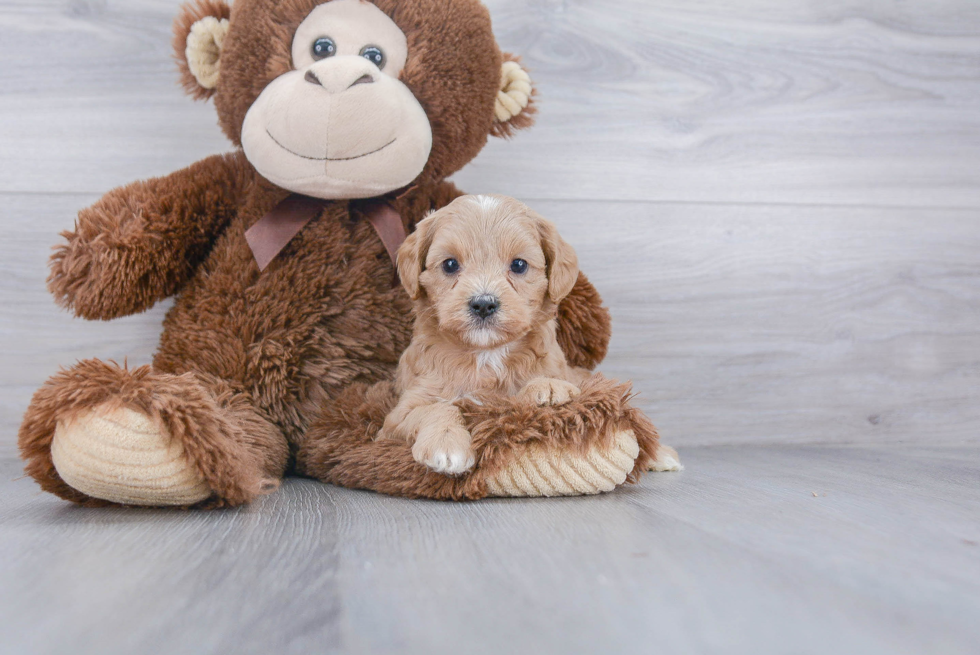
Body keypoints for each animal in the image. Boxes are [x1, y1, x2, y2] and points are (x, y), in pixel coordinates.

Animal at [378, 195, 584, 476]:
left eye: (519, 265)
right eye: (450, 264)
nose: (484, 304)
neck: (487, 354)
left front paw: (549, 387)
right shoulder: (396, 419)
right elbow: (436, 407)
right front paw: (446, 444)